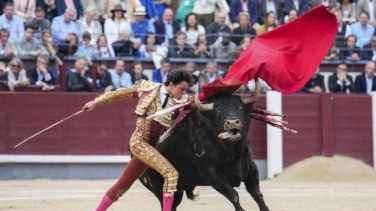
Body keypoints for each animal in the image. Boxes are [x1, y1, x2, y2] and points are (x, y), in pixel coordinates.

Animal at [140, 81, 268, 210]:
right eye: (218, 111)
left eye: (240, 108)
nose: (232, 122)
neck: (232, 152)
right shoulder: (213, 176)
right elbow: (234, 195)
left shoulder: (251, 169)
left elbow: (258, 195)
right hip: (159, 184)